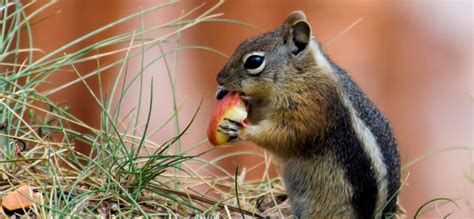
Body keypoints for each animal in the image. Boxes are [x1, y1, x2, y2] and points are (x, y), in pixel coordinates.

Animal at [217, 11, 402, 218]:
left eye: (254, 61)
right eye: (242, 43)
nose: (219, 78)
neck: (304, 73)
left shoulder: (312, 108)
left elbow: (285, 136)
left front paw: (241, 130)